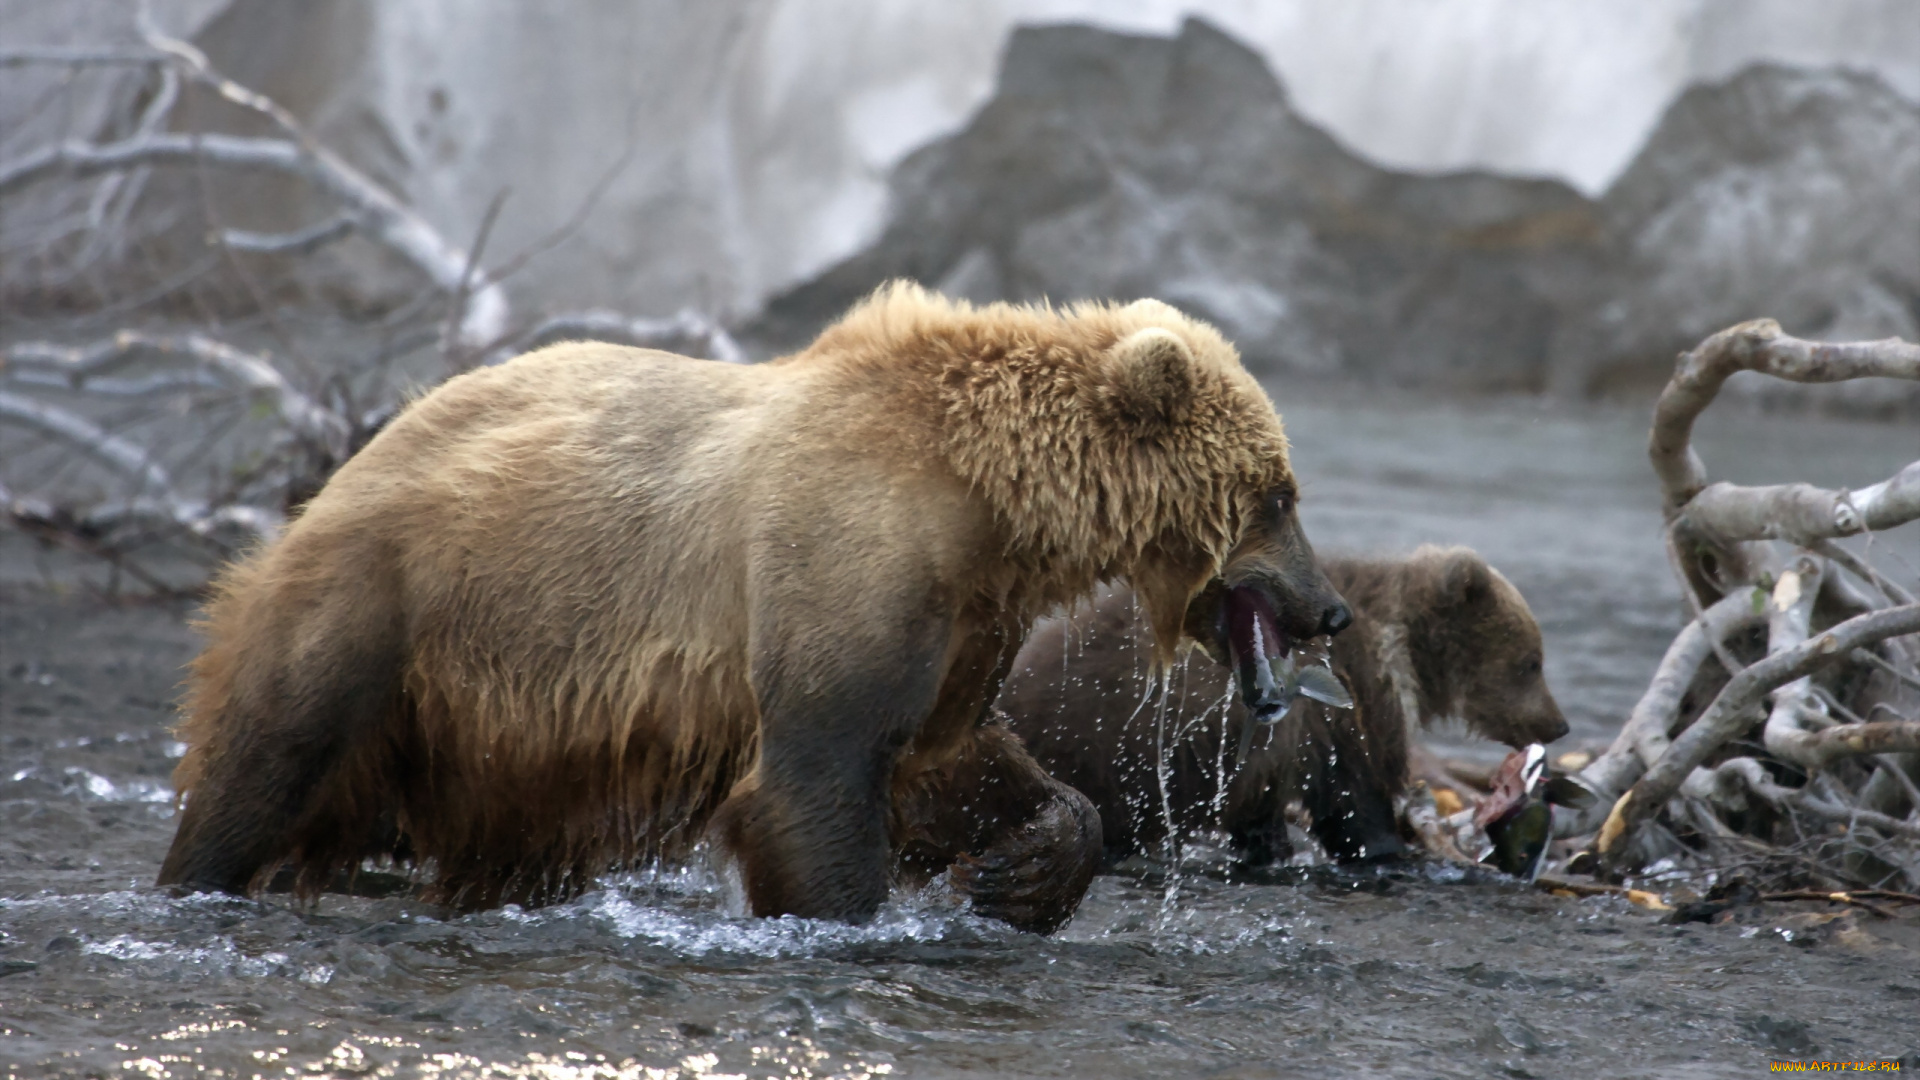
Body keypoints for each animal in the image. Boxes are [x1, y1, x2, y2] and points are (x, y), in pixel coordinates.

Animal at [153, 282, 1351, 930]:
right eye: (1280, 492)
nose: (1331, 607)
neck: (991, 506)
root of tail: (344, 470)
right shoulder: (843, 551)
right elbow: (818, 772)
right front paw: (853, 913)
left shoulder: (961, 613)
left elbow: (947, 754)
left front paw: (1032, 863)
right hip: (387, 608)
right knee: (269, 757)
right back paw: (200, 877)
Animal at [998, 545, 1566, 864]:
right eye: (1530, 662)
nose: (1558, 725)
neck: (1405, 647)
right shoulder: (1353, 697)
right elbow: (1357, 795)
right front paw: (1390, 846)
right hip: (1107, 744)